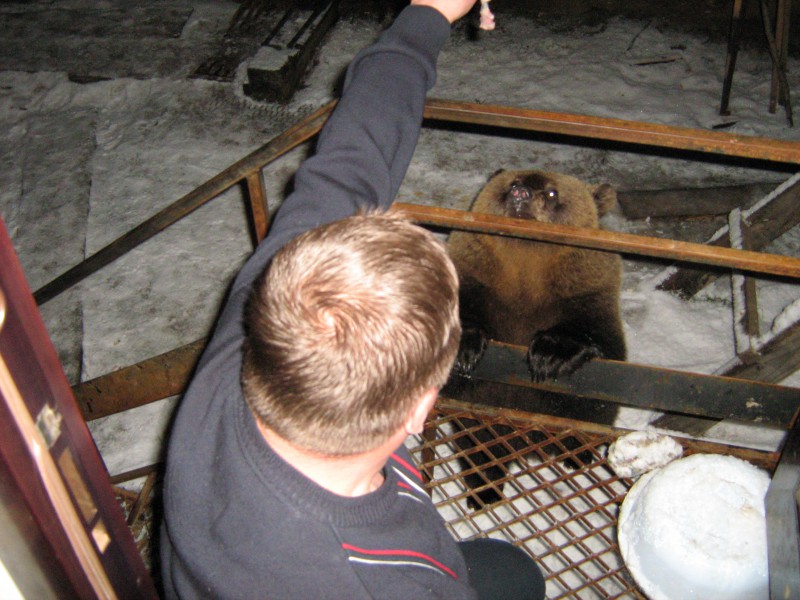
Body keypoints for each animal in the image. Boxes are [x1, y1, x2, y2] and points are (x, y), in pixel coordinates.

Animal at [444, 169, 626, 509]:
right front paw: (465, 348)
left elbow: (603, 366)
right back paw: (484, 491)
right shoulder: (474, 283)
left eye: (553, 192)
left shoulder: (587, 297)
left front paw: (550, 353)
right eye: (513, 183)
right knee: (478, 448)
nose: (521, 194)